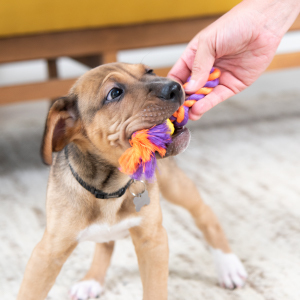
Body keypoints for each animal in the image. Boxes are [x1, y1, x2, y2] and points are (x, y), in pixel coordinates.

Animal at [17, 62, 246, 298]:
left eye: (150, 71)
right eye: (114, 93)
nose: (176, 87)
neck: (109, 187)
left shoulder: (152, 240)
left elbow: (155, 291)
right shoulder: (47, 253)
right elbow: (28, 292)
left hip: (174, 186)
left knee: (204, 213)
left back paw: (227, 265)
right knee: (106, 244)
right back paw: (92, 280)